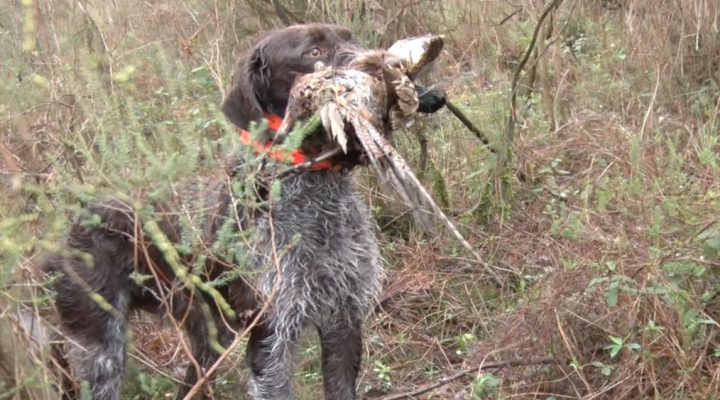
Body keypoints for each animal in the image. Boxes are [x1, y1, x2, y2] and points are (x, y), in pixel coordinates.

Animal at [45, 23, 380, 398]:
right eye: (314, 52)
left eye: (350, 38)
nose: (378, 66)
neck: (315, 199)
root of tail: (74, 223)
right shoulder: (271, 337)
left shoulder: (344, 321)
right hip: (99, 351)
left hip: (208, 335)